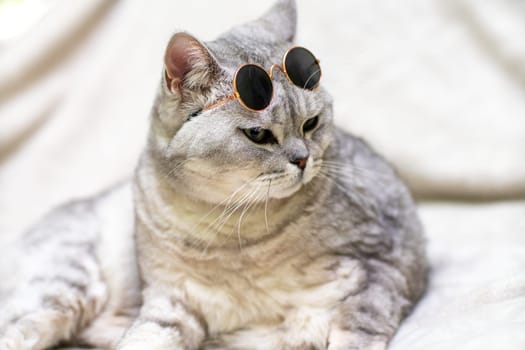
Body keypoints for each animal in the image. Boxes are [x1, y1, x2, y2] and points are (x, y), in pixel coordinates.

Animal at [0, 0, 426, 350]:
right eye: (258, 135)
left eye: (311, 124)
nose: (303, 160)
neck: (227, 232)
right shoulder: (170, 302)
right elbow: (144, 337)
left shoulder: (377, 269)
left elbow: (356, 332)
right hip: (65, 284)